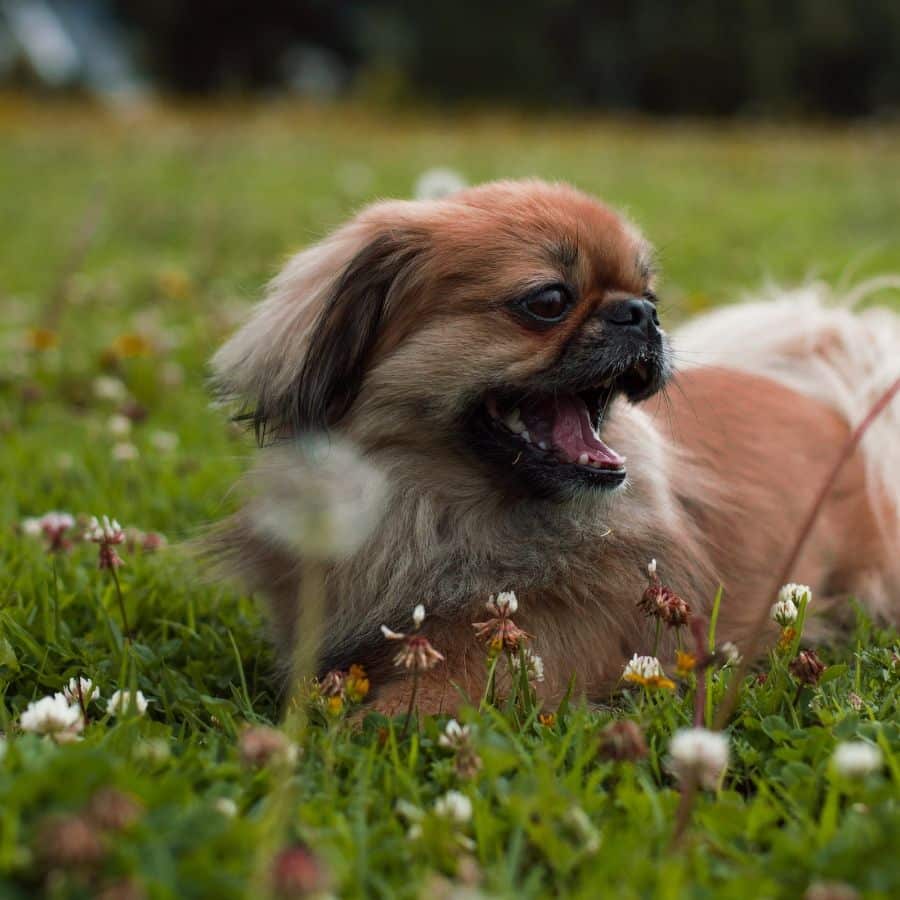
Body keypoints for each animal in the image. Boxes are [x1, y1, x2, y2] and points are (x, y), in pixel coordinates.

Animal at [211, 178, 900, 712]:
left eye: (651, 297)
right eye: (548, 301)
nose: (642, 315)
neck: (437, 515)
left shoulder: (516, 651)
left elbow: (406, 707)